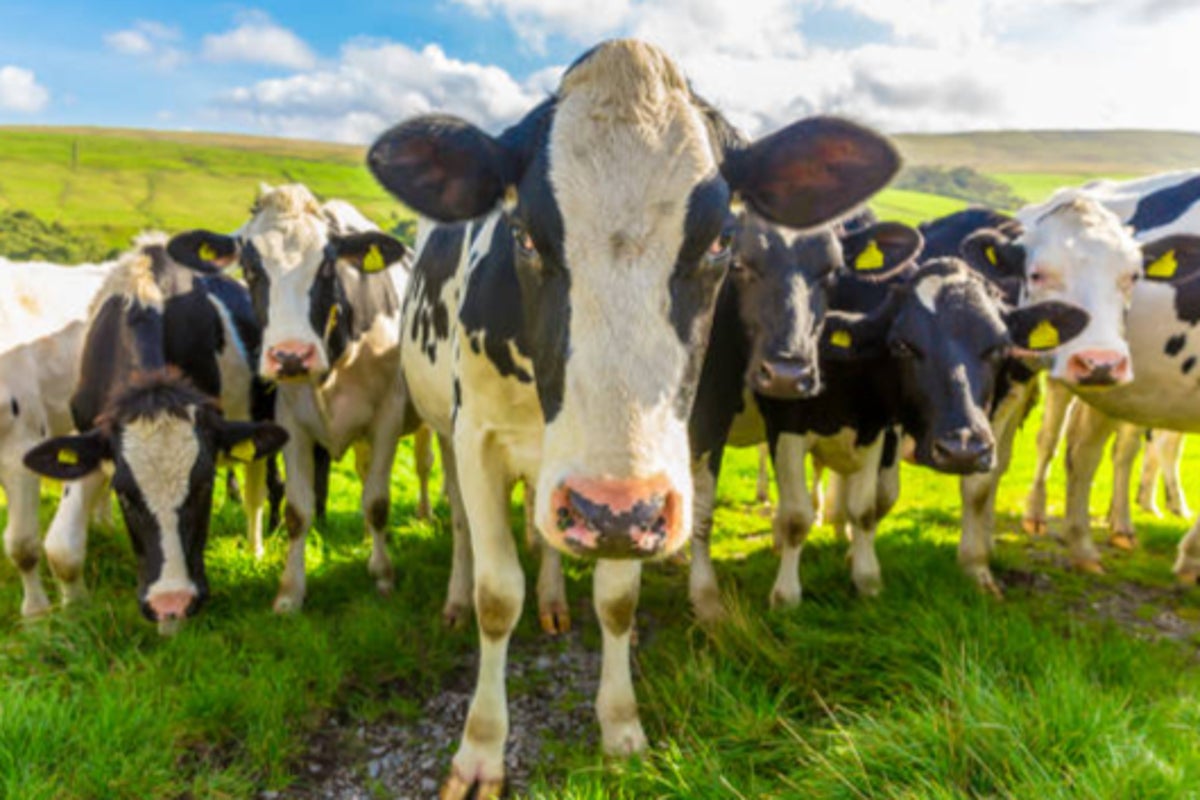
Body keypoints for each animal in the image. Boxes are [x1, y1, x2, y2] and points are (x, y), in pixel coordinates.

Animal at [21, 234, 287, 632]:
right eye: (125, 495)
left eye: (204, 486)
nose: (170, 600)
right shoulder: (92, 435)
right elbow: (61, 548)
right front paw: (74, 611)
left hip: (260, 413)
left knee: (256, 492)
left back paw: (255, 551)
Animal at [169, 184, 425, 613]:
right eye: (250, 270)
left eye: (327, 268)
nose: (290, 356)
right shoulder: (291, 421)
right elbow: (297, 511)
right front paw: (290, 592)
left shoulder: (388, 417)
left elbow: (377, 502)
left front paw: (383, 576)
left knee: (423, 466)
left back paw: (424, 514)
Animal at [367, 39, 902, 798]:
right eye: (524, 235)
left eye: (722, 242)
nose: (609, 507)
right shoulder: (479, 439)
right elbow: (497, 595)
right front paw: (479, 750)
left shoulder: (649, 485)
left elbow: (618, 600)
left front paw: (620, 728)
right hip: (449, 432)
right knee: (470, 530)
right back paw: (457, 599)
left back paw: (555, 600)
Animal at [962, 191, 1200, 577]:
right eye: (1037, 275)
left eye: (1134, 276)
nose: (1100, 362)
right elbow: (983, 472)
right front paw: (974, 566)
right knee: (1041, 445)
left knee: (1086, 454)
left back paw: (1090, 546)